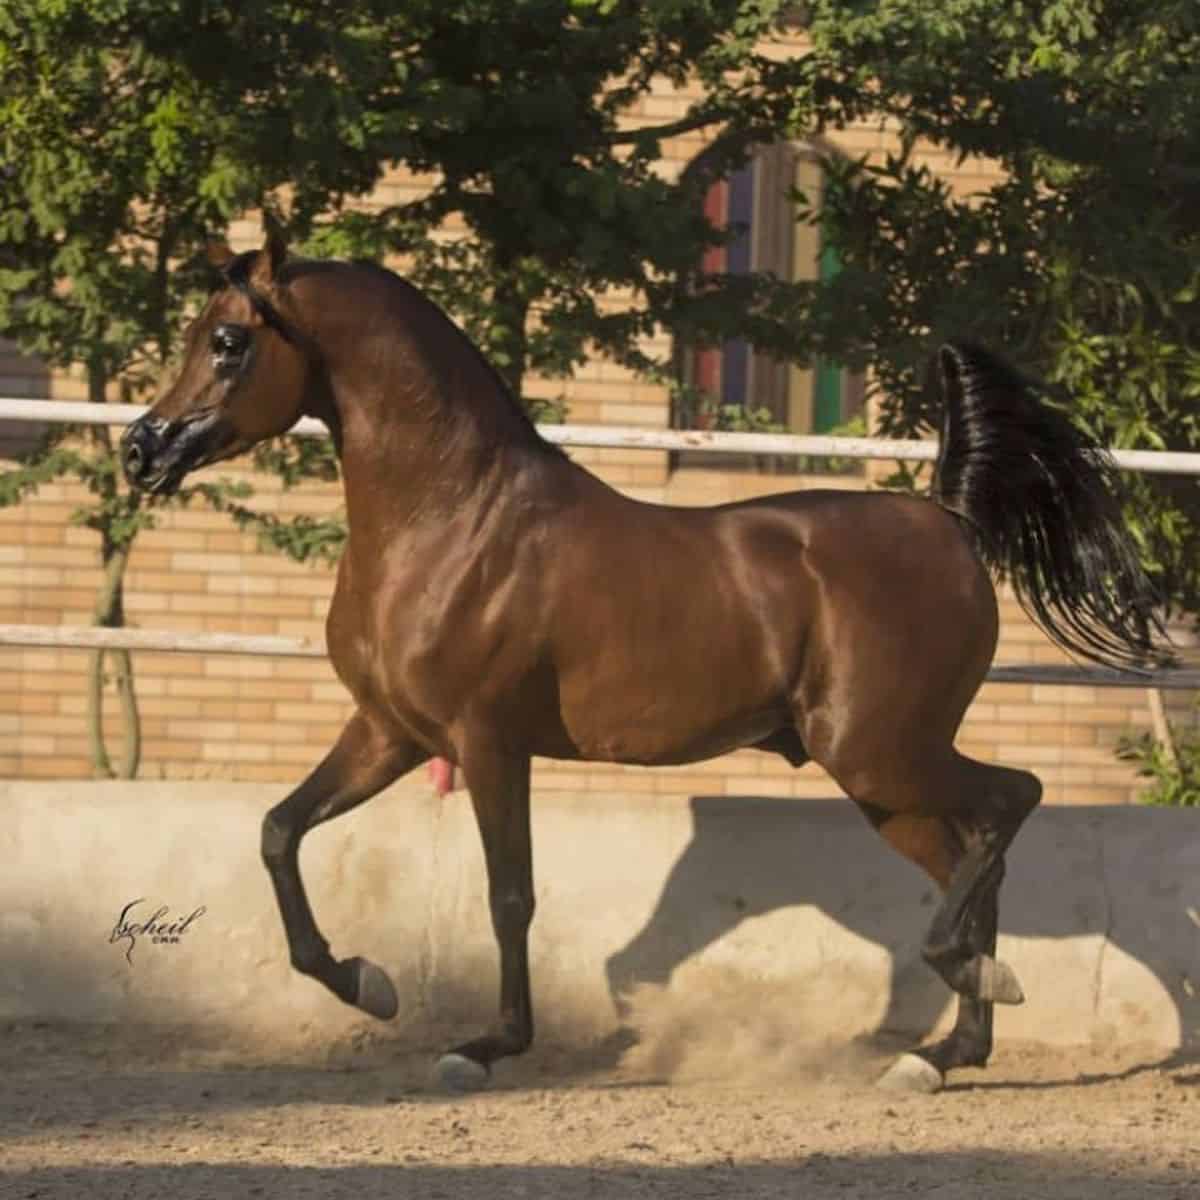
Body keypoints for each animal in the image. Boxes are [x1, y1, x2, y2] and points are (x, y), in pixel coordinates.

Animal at [119, 234, 1161, 1099]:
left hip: (879, 751)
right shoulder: (389, 733)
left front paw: (485, 1047)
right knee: (972, 852)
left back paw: (973, 989)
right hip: (881, 778)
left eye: (226, 342)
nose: (140, 449)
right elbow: (278, 831)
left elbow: (509, 895)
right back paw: (940, 1055)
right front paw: (366, 984)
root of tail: (949, 518)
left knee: (1010, 802)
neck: (452, 517)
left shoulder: (488, 742)